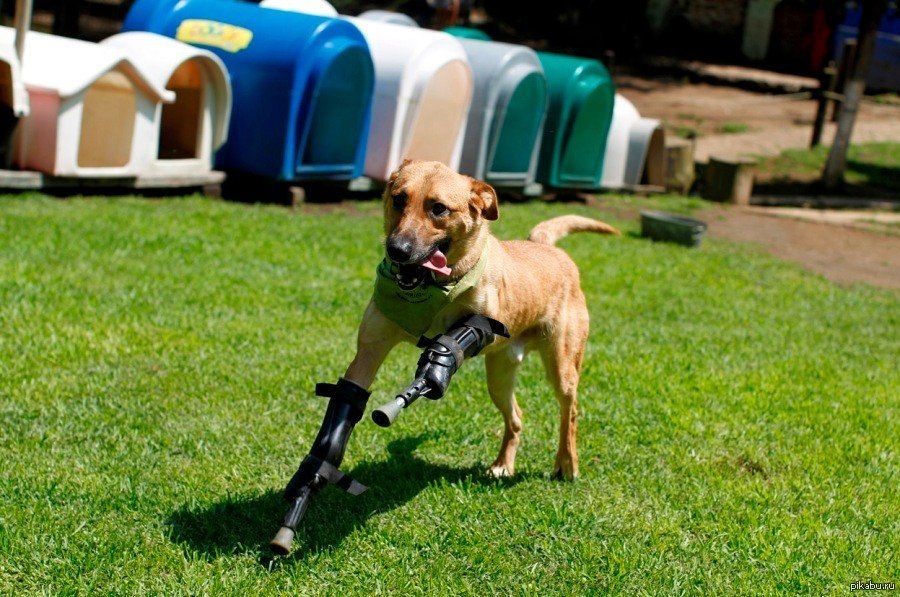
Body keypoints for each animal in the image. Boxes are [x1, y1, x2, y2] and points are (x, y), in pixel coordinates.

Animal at [340, 158, 620, 480]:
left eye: (438, 208)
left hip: (562, 367)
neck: (435, 288)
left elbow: (464, 332)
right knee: (517, 418)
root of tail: (548, 247)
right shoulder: (369, 351)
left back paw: (566, 463)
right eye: (399, 199)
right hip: (499, 378)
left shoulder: (485, 322)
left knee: (569, 412)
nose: (397, 249)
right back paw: (503, 464)